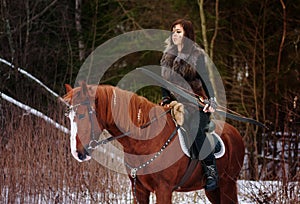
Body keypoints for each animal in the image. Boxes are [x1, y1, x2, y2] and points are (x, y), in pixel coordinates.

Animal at [62, 81, 244, 204]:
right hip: (213, 190)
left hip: (227, 184)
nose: (77, 153)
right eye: (69, 116)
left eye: (82, 115)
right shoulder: (139, 190)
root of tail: (234, 132)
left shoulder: (164, 190)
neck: (145, 141)